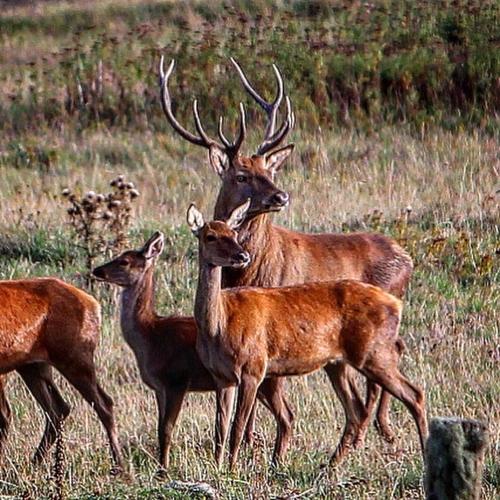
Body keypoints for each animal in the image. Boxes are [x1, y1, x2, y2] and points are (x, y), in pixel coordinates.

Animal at [0, 278, 122, 468]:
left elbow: (4, 417)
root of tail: (95, 305)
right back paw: (37, 463)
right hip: (34, 366)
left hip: (74, 359)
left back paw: (119, 466)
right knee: (58, 409)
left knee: (104, 404)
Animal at [91, 233, 292, 468]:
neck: (151, 336)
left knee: (285, 416)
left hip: (266, 379)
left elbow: (166, 430)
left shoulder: (177, 380)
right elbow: (159, 428)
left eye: (124, 261)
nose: (97, 271)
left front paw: (163, 469)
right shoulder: (159, 388)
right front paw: (161, 465)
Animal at [158, 56, 412, 458]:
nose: (281, 196)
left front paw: (253, 448)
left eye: (270, 170)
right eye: (242, 175)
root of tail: (408, 258)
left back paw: (377, 431)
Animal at [186, 199, 428, 468]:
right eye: (210, 236)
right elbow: (220, 428)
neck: (219, 325)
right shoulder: (222, 376)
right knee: (355, 410)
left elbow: (237, 426)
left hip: (373, 352)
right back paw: (330, 466)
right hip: (337, 363)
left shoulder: (253, 369)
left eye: (233, 233)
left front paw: (232, 470)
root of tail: (396, 305)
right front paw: (218, 467)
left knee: (414, 394)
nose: (242, 255)